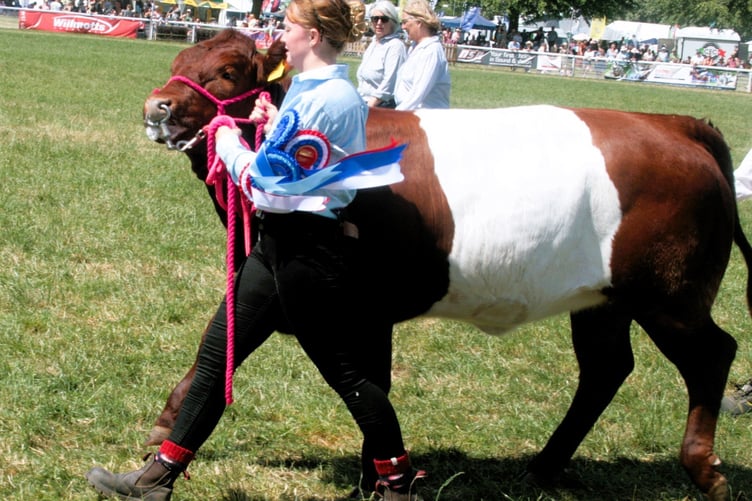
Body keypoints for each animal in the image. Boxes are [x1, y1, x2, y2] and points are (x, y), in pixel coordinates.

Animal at [141, 28, 750, 500]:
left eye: (226, 71)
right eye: (175, 65)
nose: (156, 108)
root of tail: (675, 124)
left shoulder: (353, 302)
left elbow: (362, 380)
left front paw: (379, 475)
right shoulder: (311, 294)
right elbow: (228, 345)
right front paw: (166, 429)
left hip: (670, 295)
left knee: (713, 354)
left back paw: (704, 470)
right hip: (603, 300)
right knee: (606, 369)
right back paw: (545, 466)